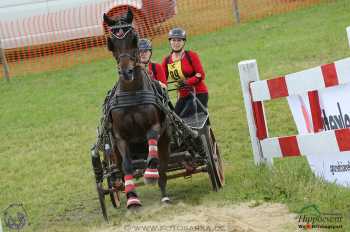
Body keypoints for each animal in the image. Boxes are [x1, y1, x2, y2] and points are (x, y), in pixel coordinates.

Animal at [103, 8, 170, 208]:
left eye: (133, 38)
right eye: (111, 43)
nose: (127, 72)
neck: (132, 93)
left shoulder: (155, 127)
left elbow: (153, 156)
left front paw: (150, 175)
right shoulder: (120, 137)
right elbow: (127, 167)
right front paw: (132, 198)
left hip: (166, 140)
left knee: (162, 164)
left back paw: (164, 194)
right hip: (114, 151)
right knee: (119, 170)